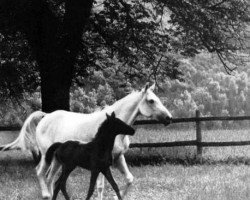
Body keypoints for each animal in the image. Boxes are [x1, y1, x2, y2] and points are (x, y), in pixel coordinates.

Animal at [0, 83, 172, 200]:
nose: (169, 118)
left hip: (57, 161)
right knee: (41, 173)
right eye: (151, 101)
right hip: (46, 156)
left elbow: (129, 179)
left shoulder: (118, 157)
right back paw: (46, 195)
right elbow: (101, 186)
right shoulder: (100, 165)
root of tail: (46, 116)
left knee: (50, 178)